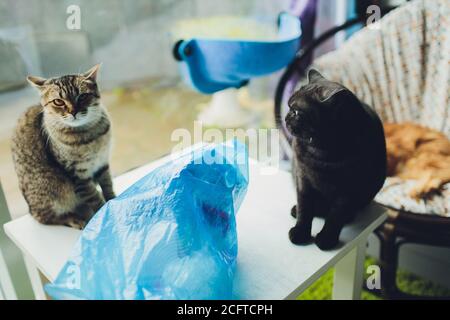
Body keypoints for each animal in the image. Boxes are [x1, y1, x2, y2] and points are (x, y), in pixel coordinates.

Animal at [12, 65, 115, 229]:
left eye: (82, 96)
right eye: (58, 102)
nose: (73, 112)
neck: (90, 135)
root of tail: (29, 208)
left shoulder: (102, 163)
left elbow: (107, 185)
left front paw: (114, 200)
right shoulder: (78, 175)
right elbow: (95, 198)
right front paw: (103, 215)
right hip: (52, 192)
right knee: (45, 217)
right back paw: (75, 219)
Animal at [284, 69, 386, 250]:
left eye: (296, 112)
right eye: (289, 106)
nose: (286, 116)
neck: (321, 151)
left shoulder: (347, 191)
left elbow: (335, 216)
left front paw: (327, 239)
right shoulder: (303, 179)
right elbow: (305, 208)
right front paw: (300, 232)